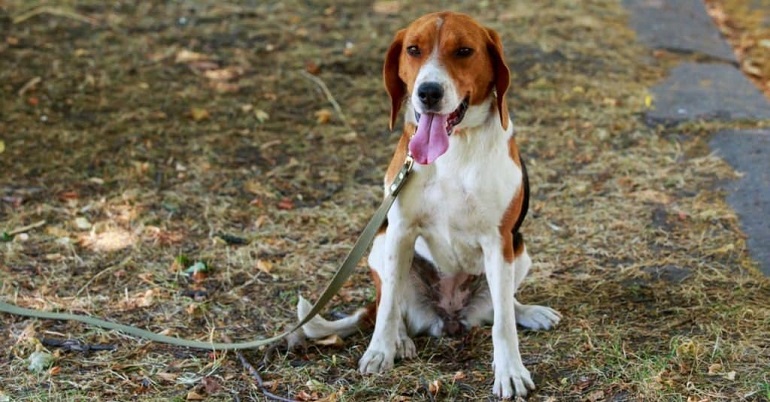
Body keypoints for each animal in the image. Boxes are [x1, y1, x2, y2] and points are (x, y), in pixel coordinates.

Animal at [296, 12, 560, 398]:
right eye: (413, 50)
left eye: (464, 51)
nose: (429, 92)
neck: (455, 146)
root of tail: (448, 317)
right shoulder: (400, 231)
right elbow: (389, 307)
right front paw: (381, 350)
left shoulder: (499, 241)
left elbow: (503, 325)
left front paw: (510, 371)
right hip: (380, 245)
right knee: (387, 303)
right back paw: (400, 340)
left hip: (520, 250)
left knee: (503, 306)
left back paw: (527, 312)